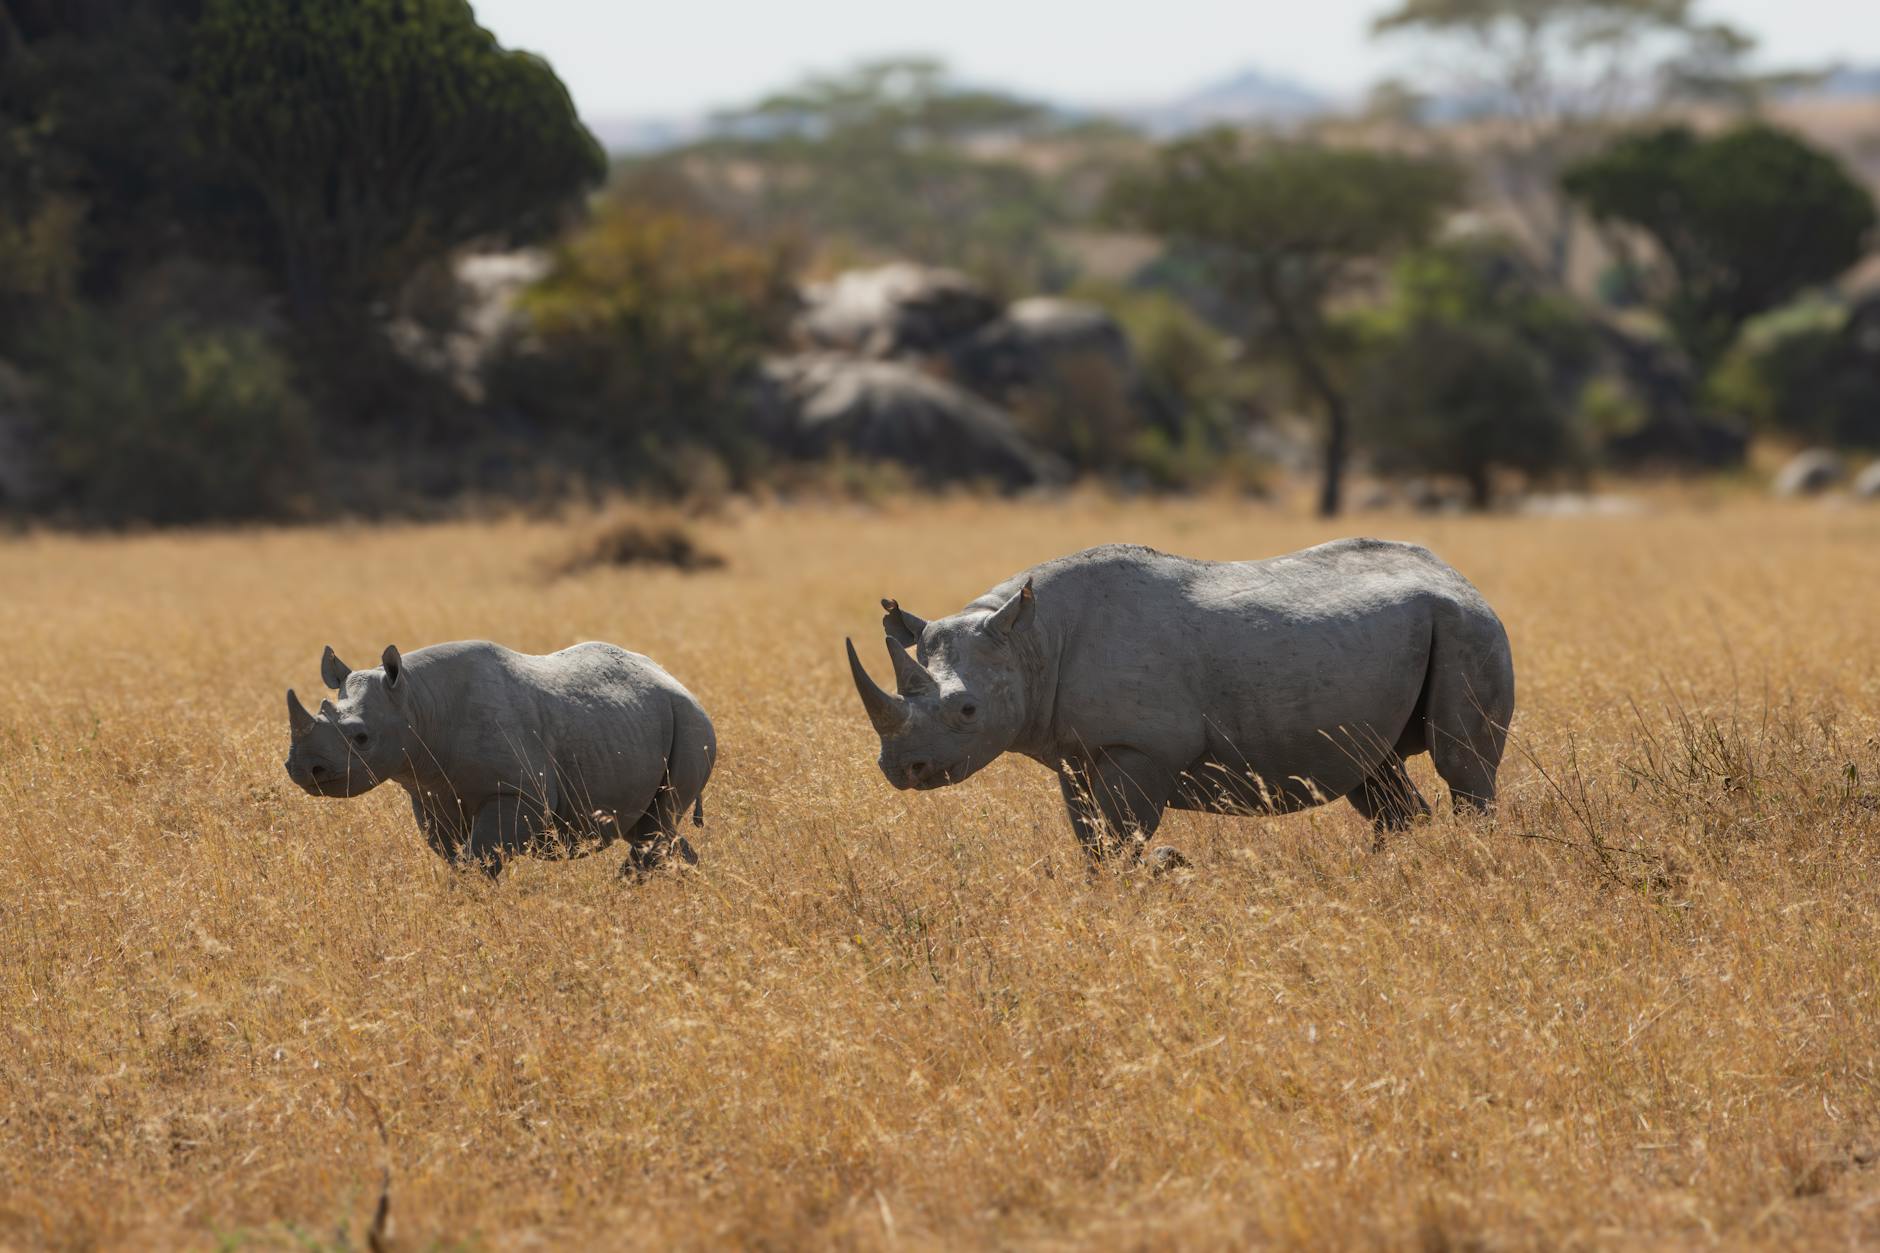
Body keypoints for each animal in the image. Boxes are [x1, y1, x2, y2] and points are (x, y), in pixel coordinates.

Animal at [284, 640, 716, 878]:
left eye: (362, 738)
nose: (304, 769)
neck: (416, 703)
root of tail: (679, 682)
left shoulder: (516, 793)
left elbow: (481, 857)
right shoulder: (430, 795)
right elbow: (457, 857)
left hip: (692, 724)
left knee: (656, 826)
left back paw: (627, 889)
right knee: (649, 829)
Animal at [845, 540, 1514, 862]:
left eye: (967, 712)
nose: (902, 770)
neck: (1029, 639)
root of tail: (1458, 576)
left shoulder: (1141, 747)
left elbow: (1123, 837)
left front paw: (1146, 877)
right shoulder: (1075, 752)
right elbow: (1092, 839)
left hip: (1469, 625)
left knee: (1463, 763)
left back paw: (1469, 856)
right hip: (1414, 633)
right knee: (1373, 771)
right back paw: (1390, 869)